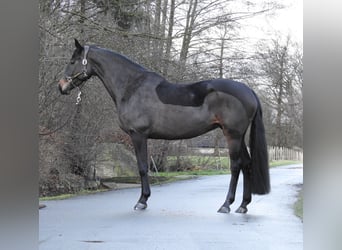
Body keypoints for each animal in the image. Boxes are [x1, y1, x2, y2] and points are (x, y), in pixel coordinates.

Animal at [58, 39, 270, 213]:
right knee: (247, 164)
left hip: (232, 135)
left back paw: (226, 205)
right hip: (238, 137)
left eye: (72, 61)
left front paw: (142, 201)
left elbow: (143, 167)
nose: (61, 86)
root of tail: (249, 90)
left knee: (236, 166)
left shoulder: (138, 135)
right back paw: (243, 205)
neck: (131, 87)